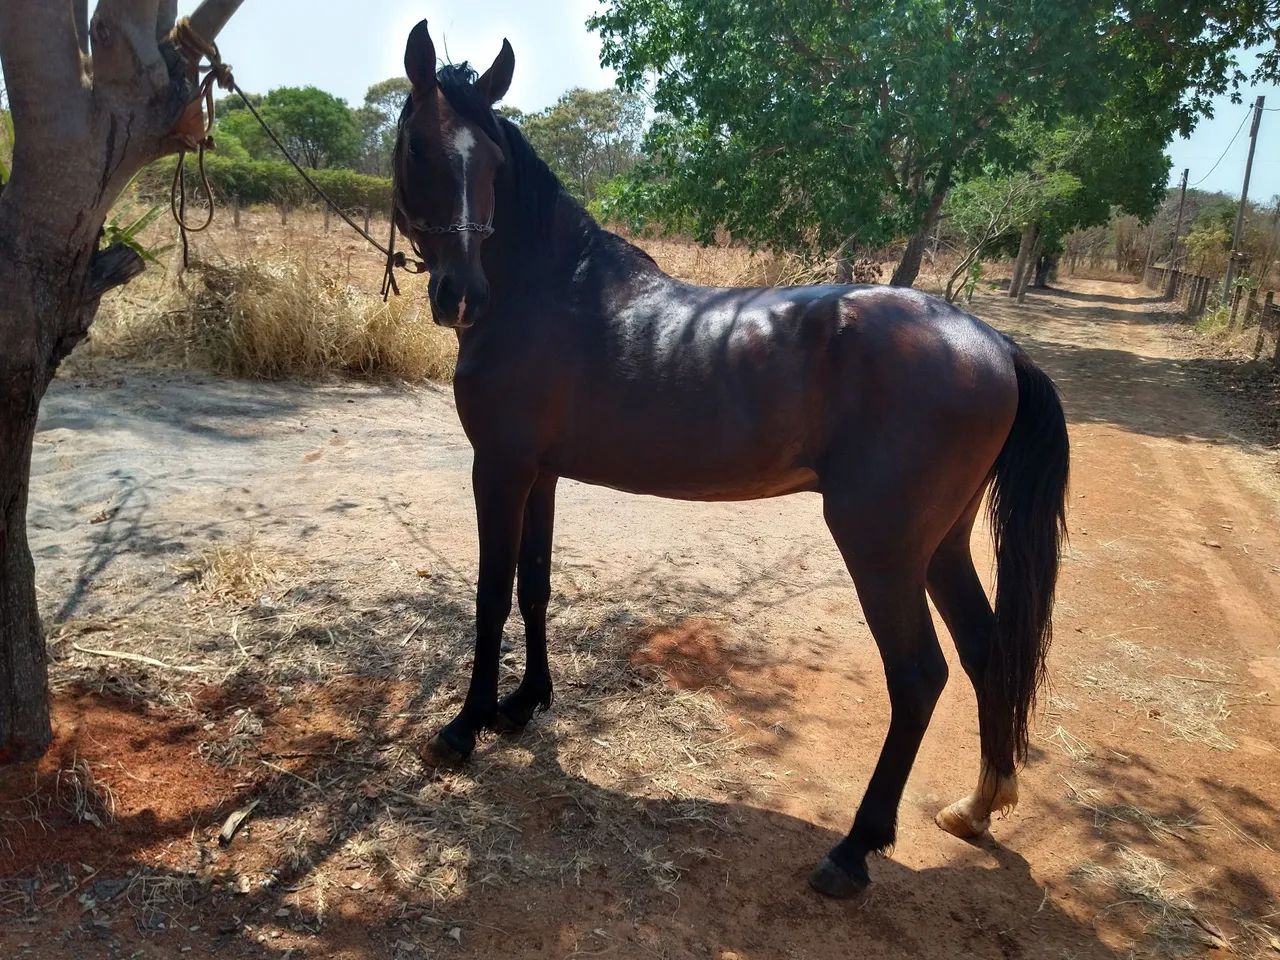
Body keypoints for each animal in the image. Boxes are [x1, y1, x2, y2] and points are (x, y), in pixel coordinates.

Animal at [391, 21, 1069, 899]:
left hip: (882, 549)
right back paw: (977, 807)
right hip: (942, 545)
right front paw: (523, 703)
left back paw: (854, 850)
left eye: (492, 164)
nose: (460, 294)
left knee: (920, 675)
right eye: (421, 147)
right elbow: (535, 588)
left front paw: (462, 728)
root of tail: (995, 345)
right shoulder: (539, 473)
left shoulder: (499, 468)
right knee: (987, 653)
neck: (545, 291)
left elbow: (489, 597)